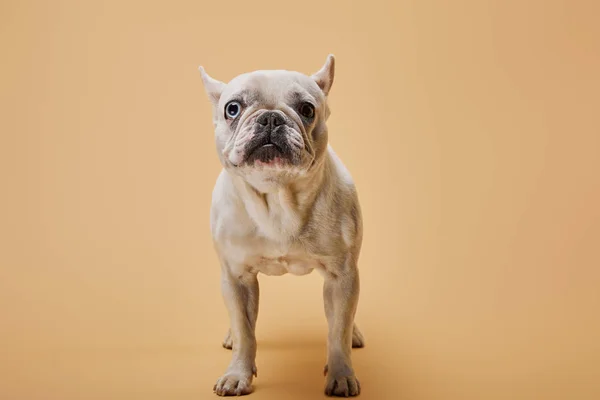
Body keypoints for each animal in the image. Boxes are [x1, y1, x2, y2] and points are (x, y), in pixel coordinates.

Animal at [199, 55, 364, 396]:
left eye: (307, 109)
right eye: (232, 108)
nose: (271, 118)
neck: (278, 197)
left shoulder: (342, 276)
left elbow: (337, 332)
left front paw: (341, 374)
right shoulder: (236, 278)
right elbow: (245, 333)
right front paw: (237, 374)